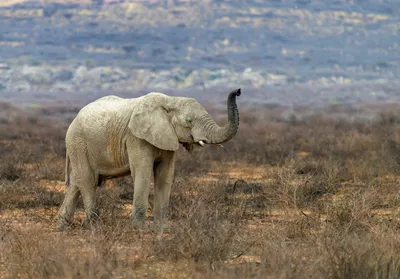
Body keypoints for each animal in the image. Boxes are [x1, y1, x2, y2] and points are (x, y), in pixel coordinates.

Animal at [58, 88, 241, 231]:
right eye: (189, 121)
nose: (238, 91)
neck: (170, 100)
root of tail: (74, 119)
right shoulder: (136, 137)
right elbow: (142, 172)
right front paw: (139, 229)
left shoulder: (167, 136)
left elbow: (165, 175)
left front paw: (161, 228)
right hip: (78, 142)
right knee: (88, 180)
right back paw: (94, 226)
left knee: (76, 183)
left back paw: (63, 227)